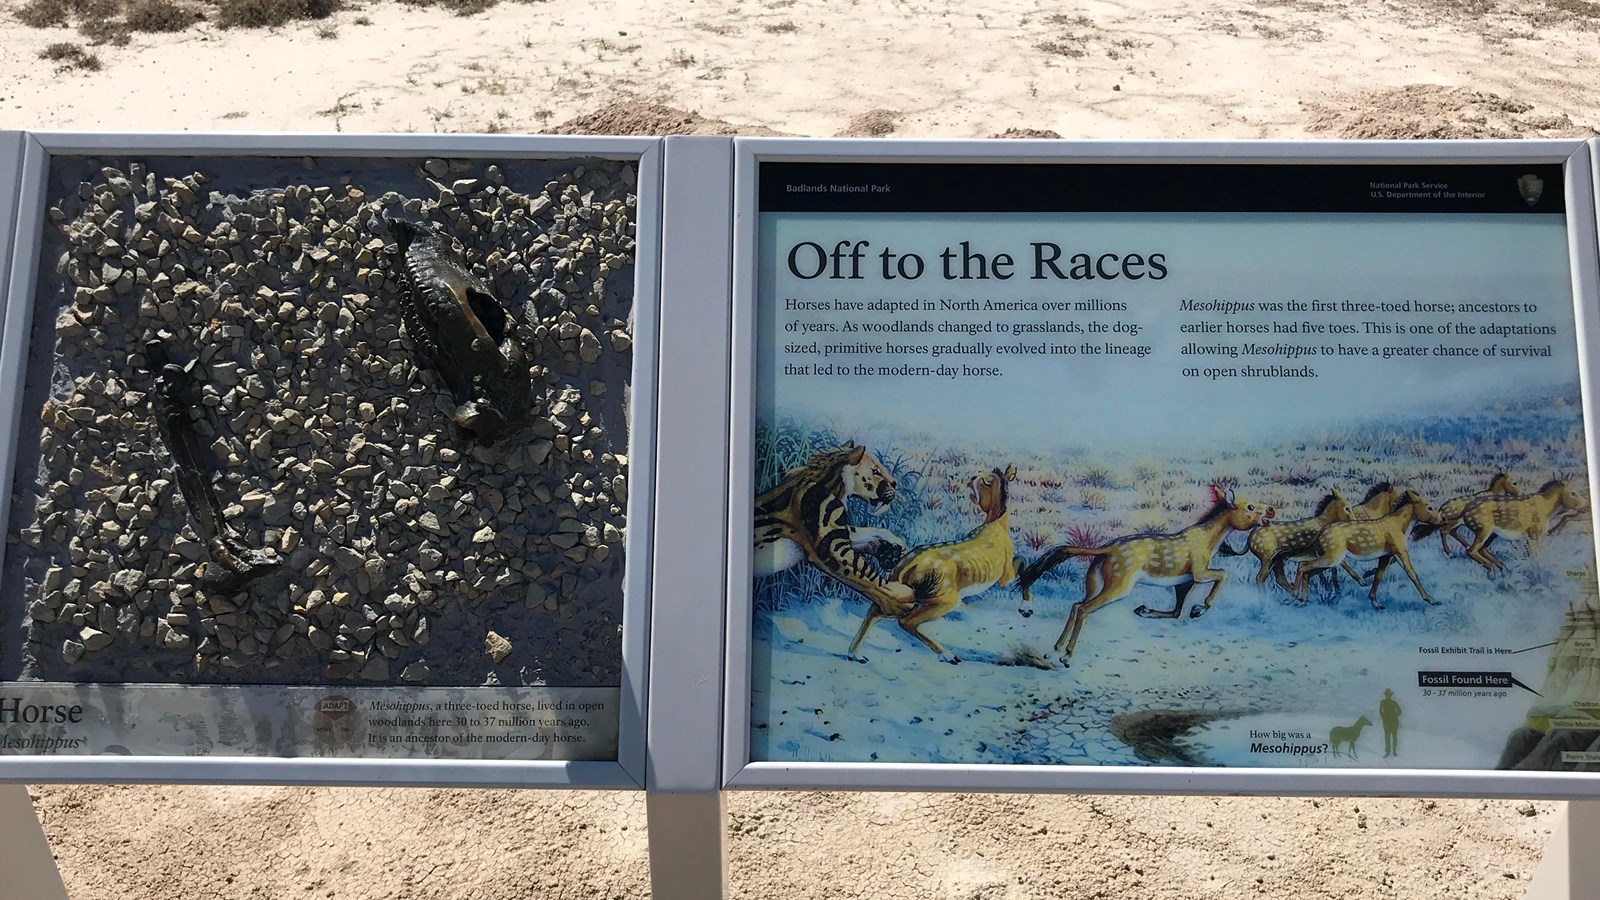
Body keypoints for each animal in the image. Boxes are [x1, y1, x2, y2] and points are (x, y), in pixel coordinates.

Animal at [755, 441, 921, 614]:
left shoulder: (838, 532)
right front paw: (902, 598)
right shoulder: (832, 547)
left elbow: (867, 533)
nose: (895, 483)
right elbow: (867, 574)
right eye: (875, 471)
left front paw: (892, 548)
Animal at [844, 464, 1017, 662]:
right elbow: (1015, 571)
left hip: (908, 594)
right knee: (905, 621)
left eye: (987, 480)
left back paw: (855, 653)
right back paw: (948, 655)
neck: (998, 524)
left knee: (876, 608)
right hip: (943, 598)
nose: (971, 478)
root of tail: (904, 567)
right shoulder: (1006, 573)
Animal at [1017, 483, 1267, 666]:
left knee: (1076, 605)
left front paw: (1146, 610)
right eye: (1250, 507)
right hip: (1118, 586)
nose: (1270, 512)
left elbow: (1177, 611)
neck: (1208, 540)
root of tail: (1105, 550)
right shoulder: (1198, 573)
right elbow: (1223, 574)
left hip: (1094, 583)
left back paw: (1053, 651)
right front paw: (1200, 608)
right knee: (1083, 609)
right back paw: (1067, 656)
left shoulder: (1183, 582)